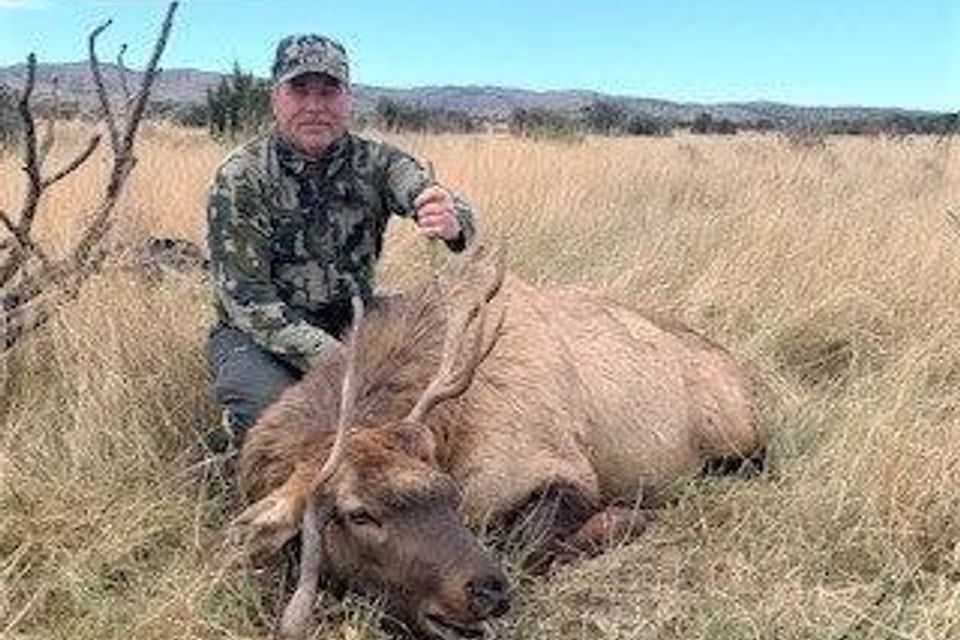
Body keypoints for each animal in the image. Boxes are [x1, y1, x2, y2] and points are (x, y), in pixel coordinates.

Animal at [231, 242, 766, 639]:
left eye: (448, 492)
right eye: (358, 514)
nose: (487, 590)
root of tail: (740, 371)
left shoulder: (563, 470)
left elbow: (528, 545)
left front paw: (622, 519)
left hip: (739, 440)